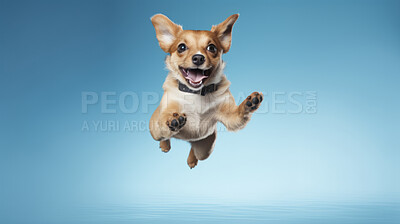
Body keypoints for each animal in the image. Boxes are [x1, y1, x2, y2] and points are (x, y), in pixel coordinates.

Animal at [149, 13, 262, 168]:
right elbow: (166, 121)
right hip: (154, 129)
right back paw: (165, 145)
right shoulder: (167, 111)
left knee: (195, 151)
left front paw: (249, 103)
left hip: (205, 148)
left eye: (212, 48)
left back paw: (191, 160)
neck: (196, 93)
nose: (198, 57)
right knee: (163, 136)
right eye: (181, 47)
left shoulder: (230, 117)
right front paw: (173, 120)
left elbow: (237, 114)